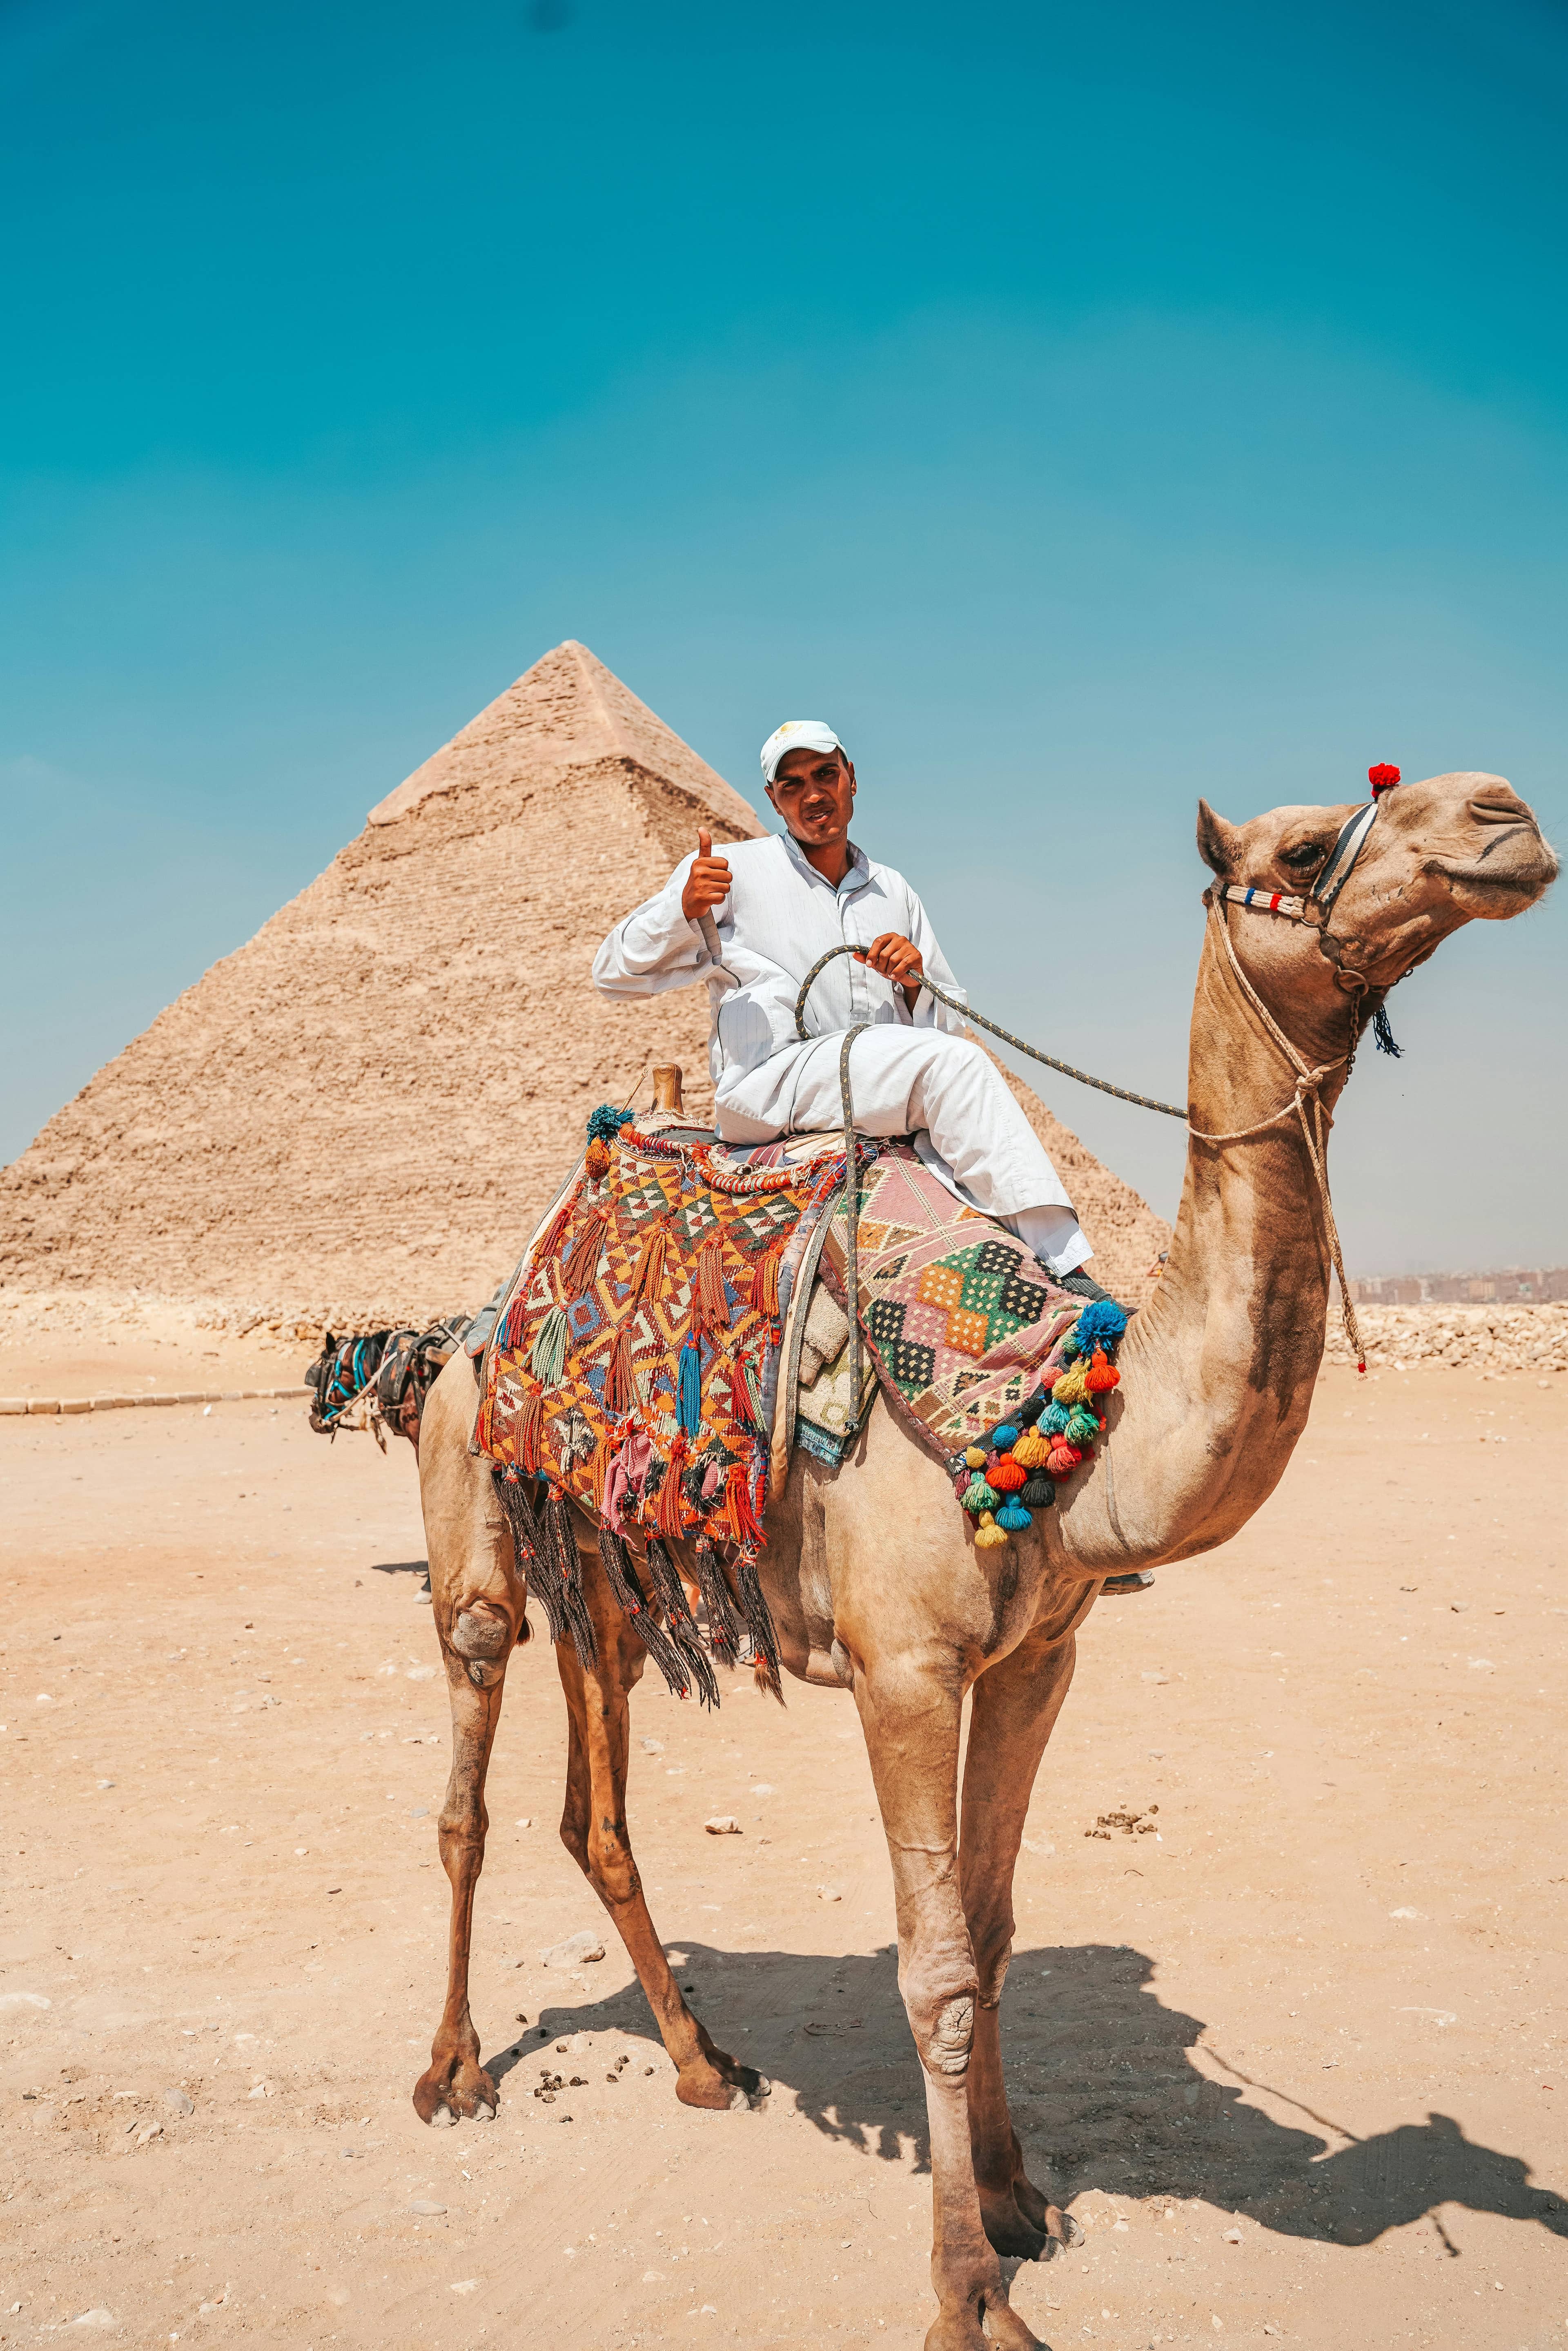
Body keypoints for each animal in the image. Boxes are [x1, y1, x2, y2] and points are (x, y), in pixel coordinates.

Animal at [408, 771, 1554, 2351]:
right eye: (1306, 841)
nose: (1505, 816)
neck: (1057, 1439)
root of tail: (477, 1317)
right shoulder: (904, 1665)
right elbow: (935, 1963)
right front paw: (967, 2289)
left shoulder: (1036, 1660)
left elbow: (999, 1928)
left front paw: (1019, 2201)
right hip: (474, 1528)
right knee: (466, 1782)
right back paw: (453, 2068)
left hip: (613, 1583)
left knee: (597, 1812)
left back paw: (704, 2063)